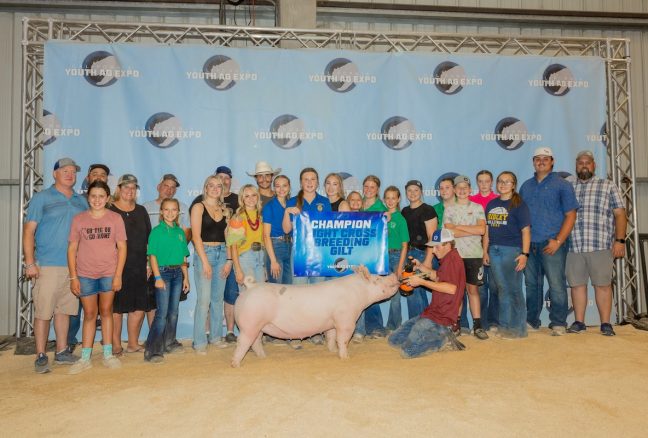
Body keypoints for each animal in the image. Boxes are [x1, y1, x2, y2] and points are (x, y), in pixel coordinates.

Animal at [230, 266, 398, 368]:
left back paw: (263, 357)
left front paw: (332, 351)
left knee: (256, 342)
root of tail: (250, 287)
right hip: (249, 324)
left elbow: (331, 336)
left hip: (259, 326)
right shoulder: (346, 320)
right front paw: (345, 358)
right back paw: (236, 364)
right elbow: (343, 339)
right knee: (243, 342)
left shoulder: (332, 322)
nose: (394, 275)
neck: (359, 293)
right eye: (377, 279)